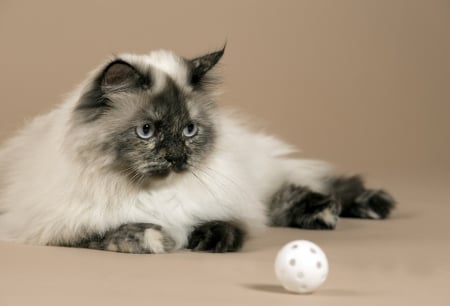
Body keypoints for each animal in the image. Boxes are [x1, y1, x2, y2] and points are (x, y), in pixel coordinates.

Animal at [0, 47, 394, 253]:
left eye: (189, 130)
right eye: (146, 131)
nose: (177, 158)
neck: (153, 193)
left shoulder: (227, 205)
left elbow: (225, 223)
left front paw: (207, 241)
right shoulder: (57, 225)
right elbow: (114, 231)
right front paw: (155, 238)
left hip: (256, 179)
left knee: (300, 189)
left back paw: (357, 207)